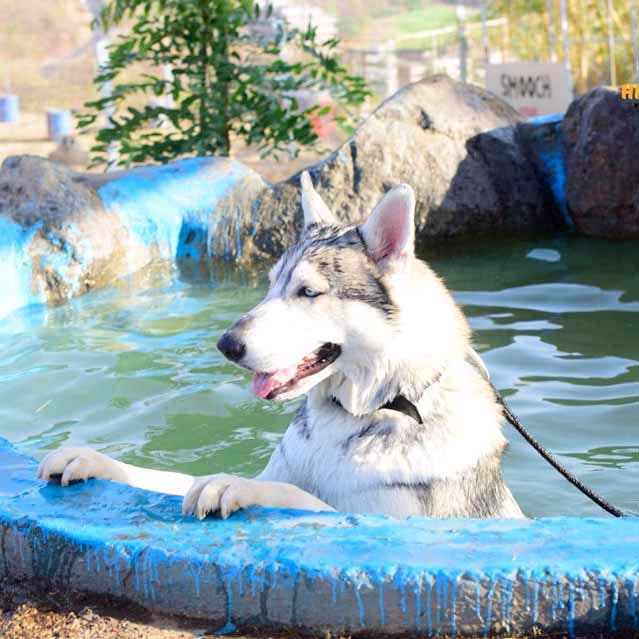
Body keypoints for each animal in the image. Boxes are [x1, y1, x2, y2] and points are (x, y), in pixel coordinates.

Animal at [37, 174, 524, 520]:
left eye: (308, 292)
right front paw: (94, 460)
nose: (226, 344)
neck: (363, 413)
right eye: (270, 285)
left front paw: (235, 485)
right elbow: (166, 478)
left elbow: (292, 495)